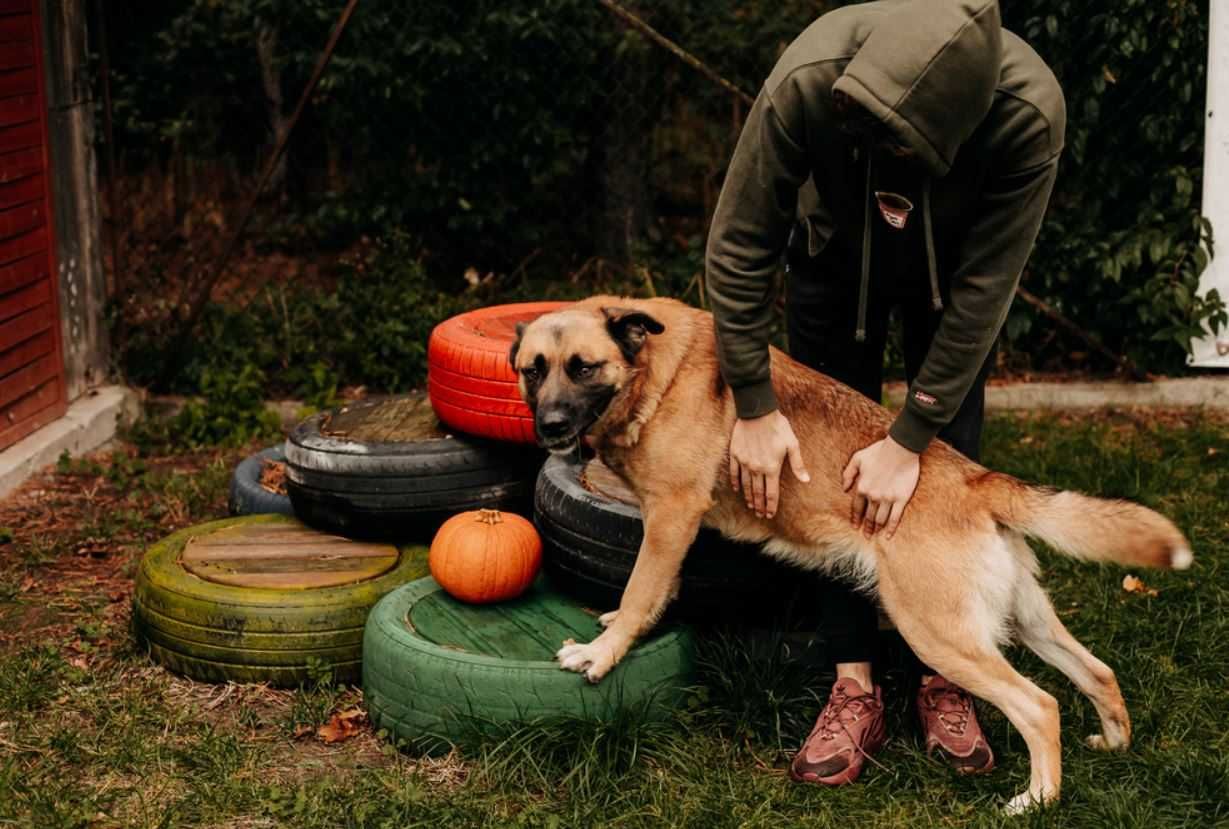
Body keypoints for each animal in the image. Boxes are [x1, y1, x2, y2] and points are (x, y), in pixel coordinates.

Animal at [508, 294, 1189, 815]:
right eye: (532, 370)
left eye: (584, 368)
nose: (549, 426)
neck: (652, 374)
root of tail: (977, 479)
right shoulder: (665, 525)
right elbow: (650, 592)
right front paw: (620, 629)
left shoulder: (672, 517)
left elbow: (639, 590)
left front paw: (602, 652)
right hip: (1022, 619)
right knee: (1097, 672)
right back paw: (1114, 743)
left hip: (936, 632)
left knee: (1040, 706)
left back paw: (1037, 800)